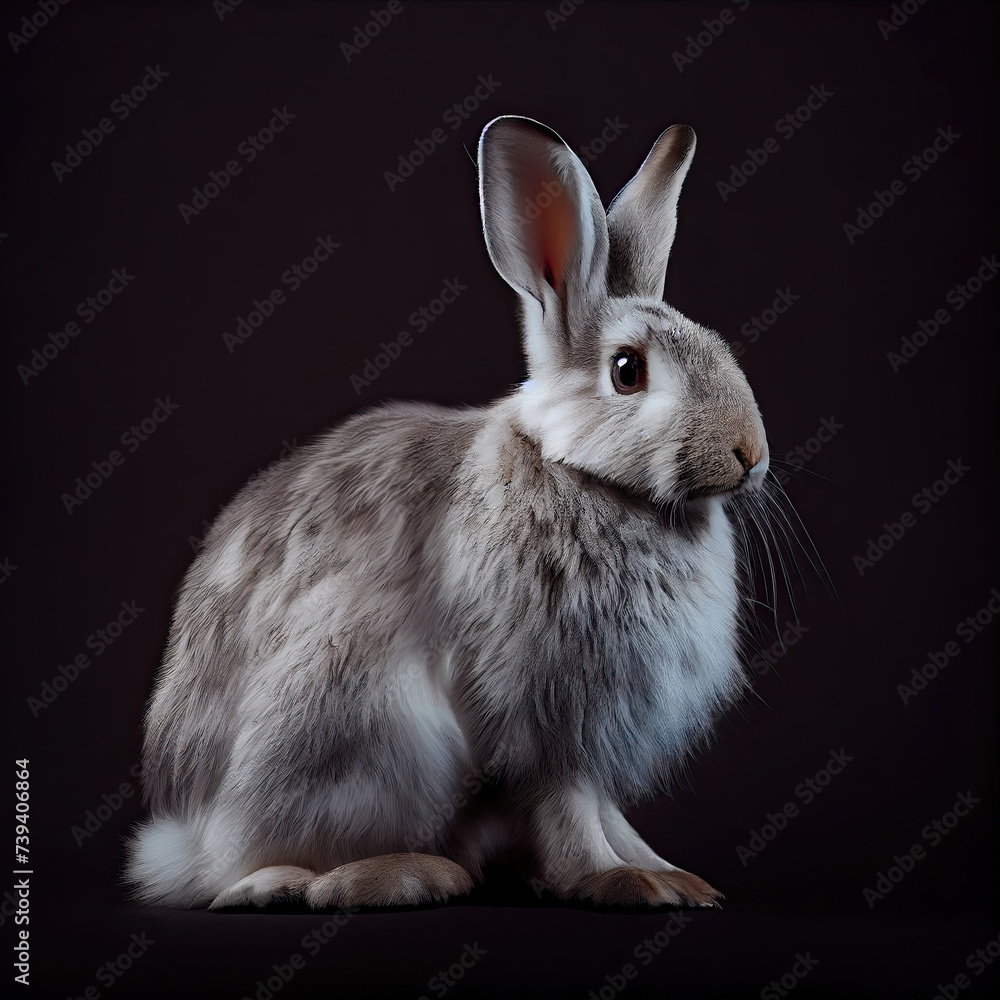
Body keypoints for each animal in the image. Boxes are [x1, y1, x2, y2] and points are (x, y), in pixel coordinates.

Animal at [124, 114, 769, 911]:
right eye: (628, 371)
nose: (749, 452)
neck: (584, 475)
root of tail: (187, 837)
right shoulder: (544, 721)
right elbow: (569, 808)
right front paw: (617, 880)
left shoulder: (589, 731)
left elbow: (607, 811)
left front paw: (666, 873)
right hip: (358, 714)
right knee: (254, 875)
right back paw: (390, 876)